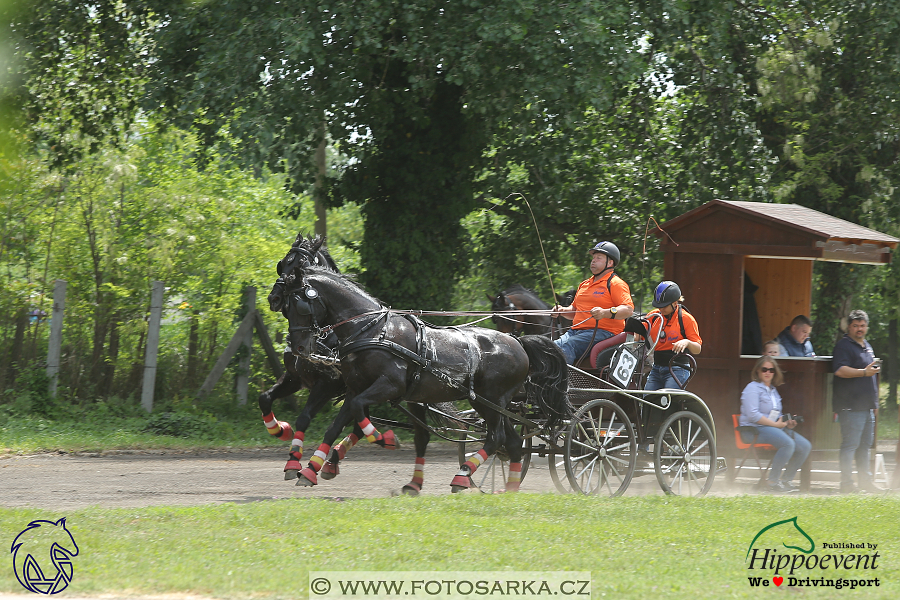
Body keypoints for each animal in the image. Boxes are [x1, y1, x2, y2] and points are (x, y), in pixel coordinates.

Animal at [282, 266, 568, 492]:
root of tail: (519, 342)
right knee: (513, 443)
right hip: (491, 403)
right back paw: (509, 489)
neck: (372, 330)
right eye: (284, 306)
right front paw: (310, 469)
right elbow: (338, 424)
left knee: (496, 437)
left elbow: (358, 412)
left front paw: (385, 439)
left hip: (491, 399)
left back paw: (463, 475)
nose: (298, 348)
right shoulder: (357, 388)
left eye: (299, 305)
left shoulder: (389, 385)